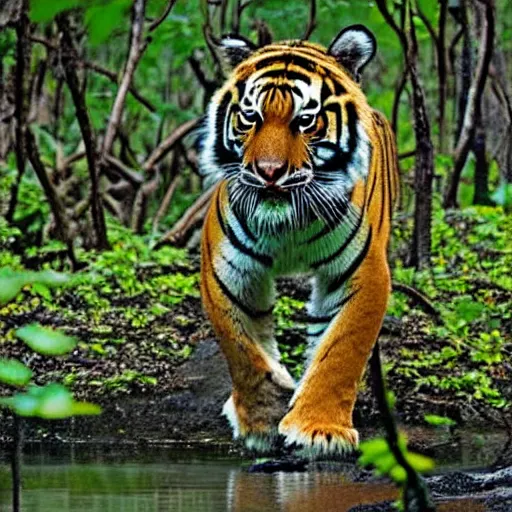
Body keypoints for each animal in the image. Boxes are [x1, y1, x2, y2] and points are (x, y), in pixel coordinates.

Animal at [198, 25, 398, 456]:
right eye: (251, 117)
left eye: (305, 120)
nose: (269, 172)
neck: (288, 224)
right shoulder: (224, 271)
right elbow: (242, 350)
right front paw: (262, 418)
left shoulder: (363, 271)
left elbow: (341, 351)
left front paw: (319, 430)